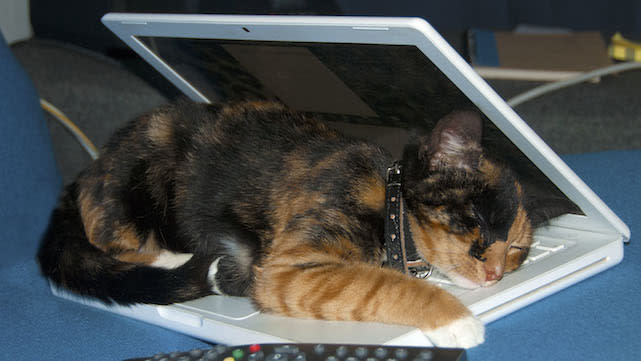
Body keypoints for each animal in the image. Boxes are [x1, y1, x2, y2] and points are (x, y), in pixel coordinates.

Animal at [37, 98, 532, 346]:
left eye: (516, 250)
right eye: (480, 218)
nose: (495, 274)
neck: (388, 200)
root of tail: (87, 171)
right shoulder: (285, 268)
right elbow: (381, 285)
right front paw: (457, 320)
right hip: (144, 168)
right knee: (114, 243)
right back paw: (178, 260)